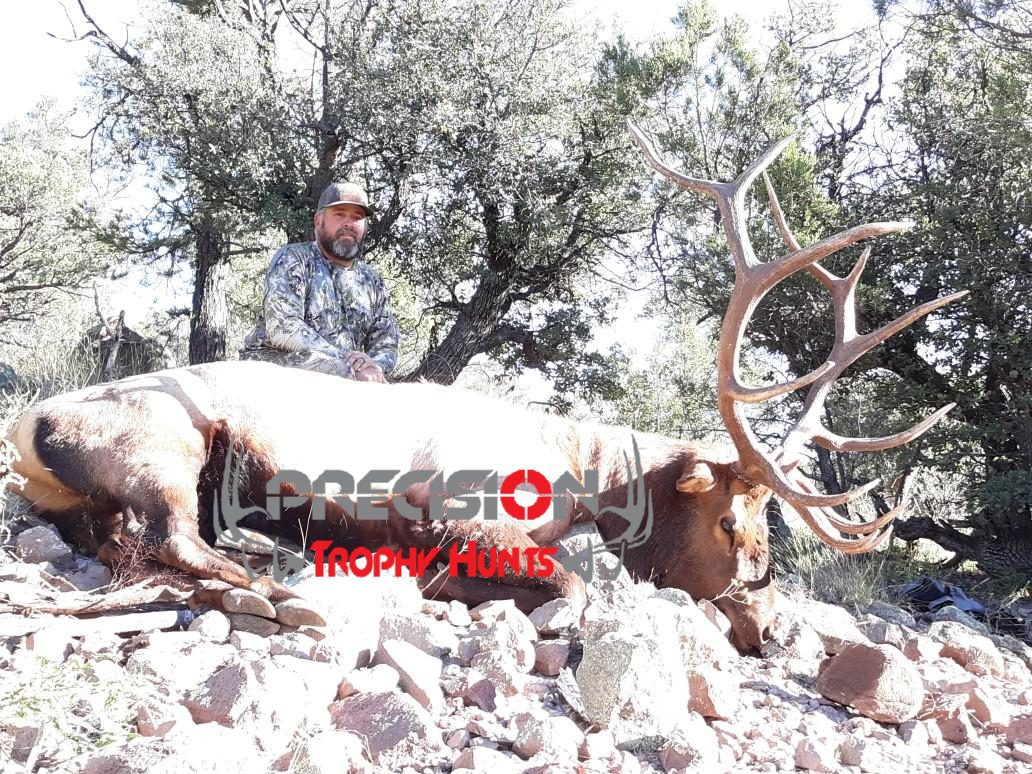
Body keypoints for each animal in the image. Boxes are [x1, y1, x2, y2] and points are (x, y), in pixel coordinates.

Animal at [1, 124, 964, 652]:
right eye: (734, 523)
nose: (768, 627)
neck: (586, 480)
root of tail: (28, 427)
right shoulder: (462, 514)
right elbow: (574, 587)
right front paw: (469, 594)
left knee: (130, 542)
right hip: (165, 447)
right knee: (169, 540)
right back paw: (278, 586)